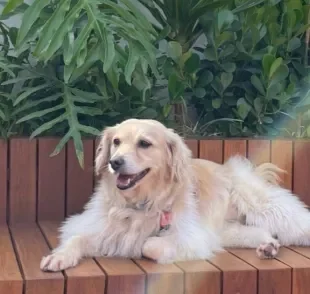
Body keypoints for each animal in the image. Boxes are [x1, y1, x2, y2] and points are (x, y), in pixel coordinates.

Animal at [40, 117, 310, 272]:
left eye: (144, 143)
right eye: (116, 141)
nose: (115, 162)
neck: (139, 204)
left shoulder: (193, 237)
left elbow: (149, 244)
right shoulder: (95, 226)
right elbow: (76, 239)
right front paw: (59, 257)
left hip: (265, 207)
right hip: (230, 231)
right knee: (263, 233)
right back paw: (269, 247)